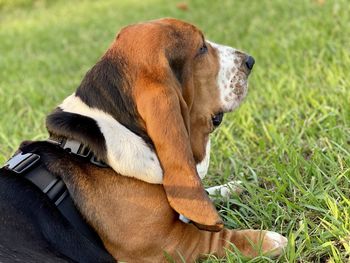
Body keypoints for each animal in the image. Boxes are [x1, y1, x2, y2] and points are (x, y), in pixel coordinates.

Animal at [0, 17, 288, 262]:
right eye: (202, 48)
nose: (249, 60)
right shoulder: (168, 243)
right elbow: (212, 239)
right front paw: (266, 241)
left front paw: (232, 187)